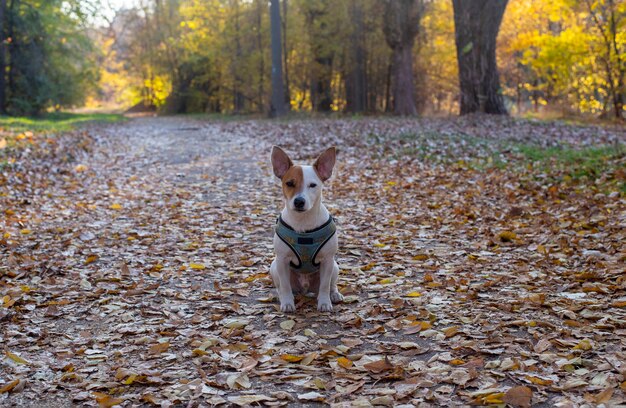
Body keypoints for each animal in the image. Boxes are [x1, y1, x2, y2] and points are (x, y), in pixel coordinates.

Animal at [268, 147, 342, 312]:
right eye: (289, 183)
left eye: (312, 185)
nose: (299, 201)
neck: (303, 222)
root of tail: (305, 288)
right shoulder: (282, 261)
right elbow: (285, 286)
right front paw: (287, 303)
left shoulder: (328, 260)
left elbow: (325, 286)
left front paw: (325, 302)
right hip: (274, 267)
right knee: (281, 287)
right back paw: (280, 296)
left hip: (334, 267)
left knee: (331, 285)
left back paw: (334, 295)